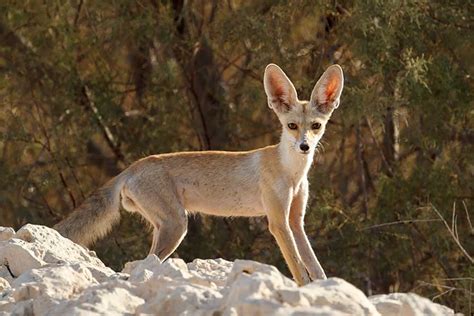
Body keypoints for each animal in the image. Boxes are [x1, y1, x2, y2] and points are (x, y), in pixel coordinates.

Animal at [55, 63, 344, 286]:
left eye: (316, 126)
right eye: (292, 126)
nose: (305, 146)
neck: (292, 173)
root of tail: (132, 166)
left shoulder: (295, 221)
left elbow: (315, 267)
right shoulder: (278, 222)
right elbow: (299, 269)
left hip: (168, 228)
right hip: (176, 226)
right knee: (142, 264)